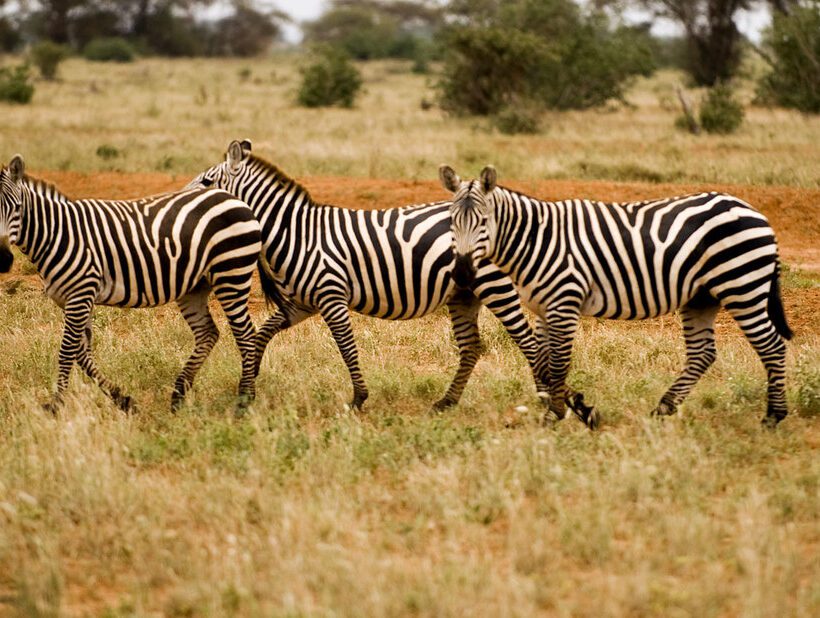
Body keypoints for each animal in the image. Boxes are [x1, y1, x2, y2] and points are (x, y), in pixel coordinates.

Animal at [0, 155, 262, 414]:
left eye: (18, 208)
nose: (3, 259)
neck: (56, 234)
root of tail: (233, 198)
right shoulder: (71, 300)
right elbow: (82, 354)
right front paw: (123, 400)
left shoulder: (81, 294)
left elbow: (67, 352)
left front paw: (56, 406)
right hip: (195, 287)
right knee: (208, 333)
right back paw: (178, 396)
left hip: (232, 273)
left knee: (246, 333)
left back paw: (245, 400)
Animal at [186, 140, 592, 418]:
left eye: (205, 181)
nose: (180, 201)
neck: (298, 233)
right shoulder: (301, 302)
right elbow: (260, 336)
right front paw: (247, 387)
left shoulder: (331, 295)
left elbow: (346, 347)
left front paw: (358, 399)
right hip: (464, 294)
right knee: (472, 348)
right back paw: (446, 402)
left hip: (495, 286)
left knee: (527, 341)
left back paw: (545, 398)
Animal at [442, 161, 796, 426]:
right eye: (452, 222)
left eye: (483, 222)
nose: (461, 274)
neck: (536, 241)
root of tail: (754, 211)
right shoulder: (543, 309)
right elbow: (542, 361)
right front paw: (572, 409)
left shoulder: (563, 303)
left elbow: (557, 364)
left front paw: (556, 416)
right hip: (701, 298)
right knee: (703, 353)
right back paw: (662, 409)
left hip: (743, 286)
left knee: (772, 346)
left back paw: (774, 416)